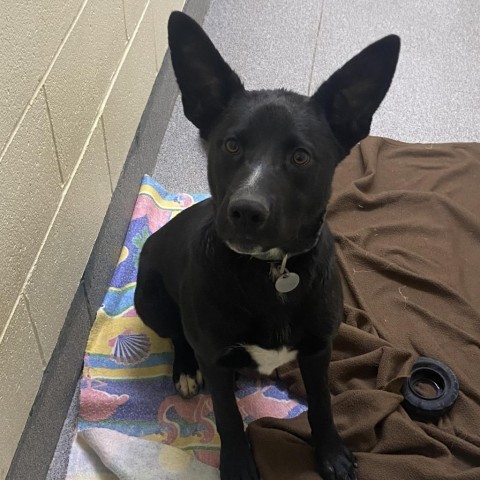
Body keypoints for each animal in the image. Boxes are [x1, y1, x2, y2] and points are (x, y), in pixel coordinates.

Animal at [133, 10, 400, 480]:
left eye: (300, 157)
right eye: (230, 145)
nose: (245, 211)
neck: (271, 271)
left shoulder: (319, 350)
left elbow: (323, 405)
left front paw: (331, 453)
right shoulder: (216, 358)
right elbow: (227, 417)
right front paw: (238, 465)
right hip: (148, 299)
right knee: (180, 336)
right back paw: (185, 369)